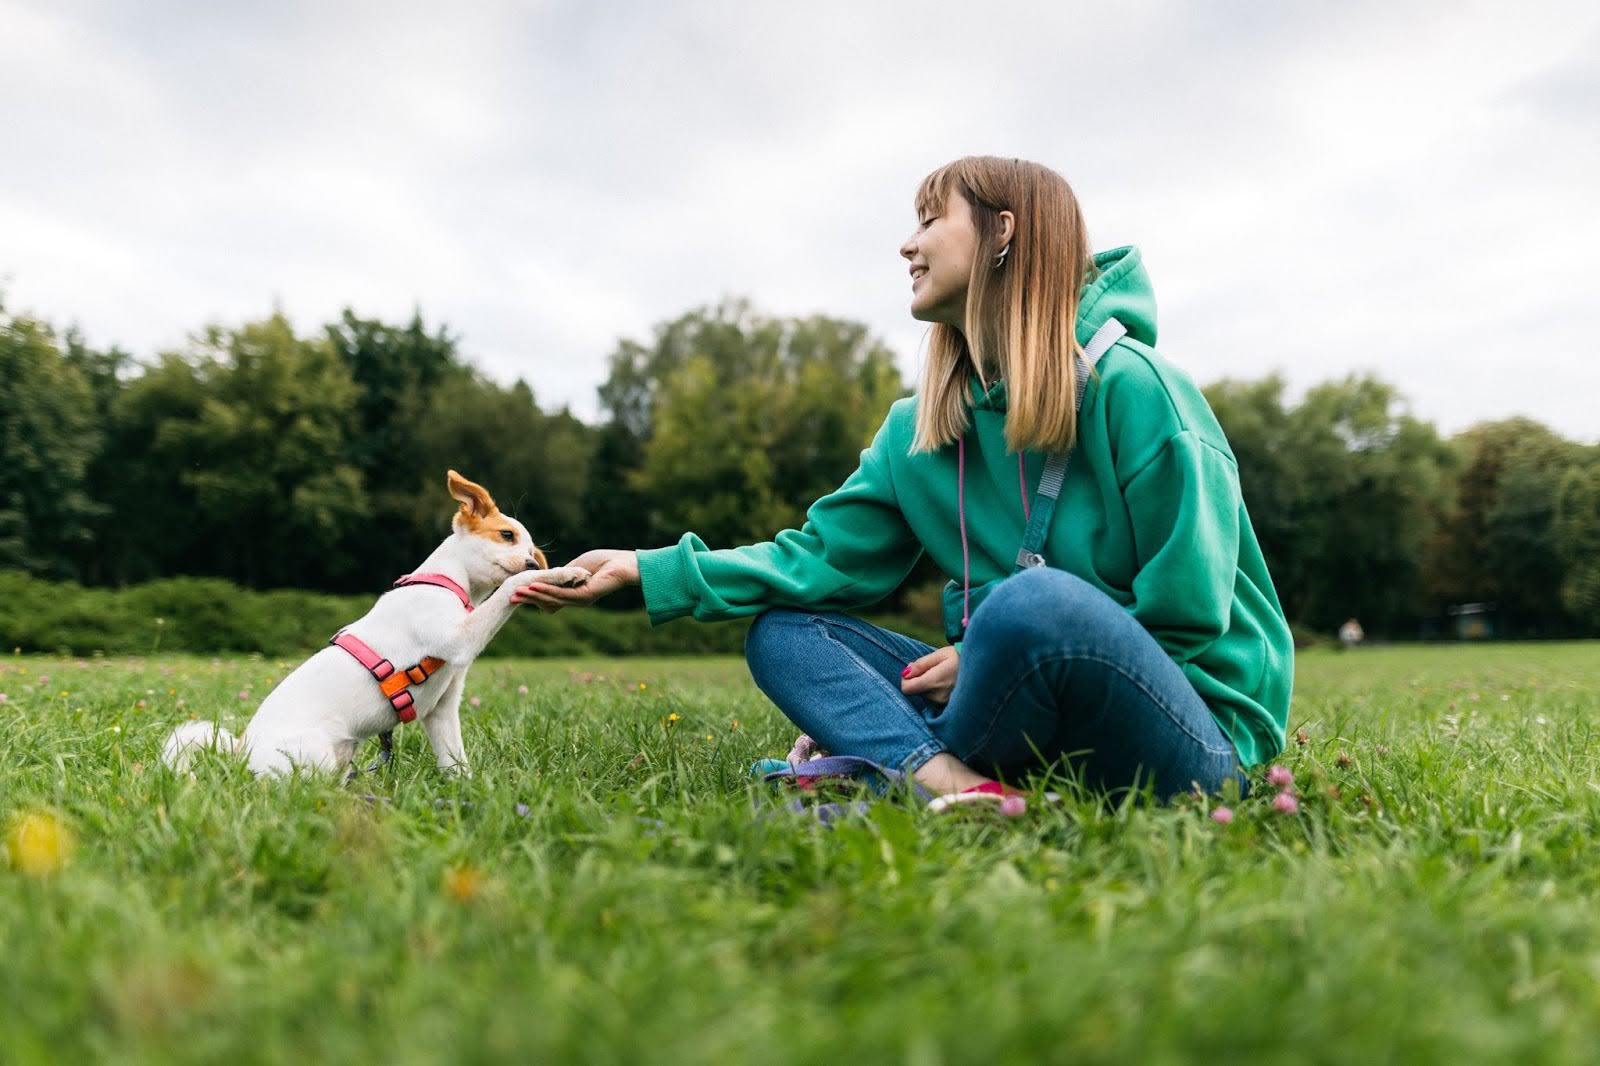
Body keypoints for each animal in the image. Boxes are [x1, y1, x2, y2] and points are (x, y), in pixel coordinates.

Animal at [160, 470, 588, 777]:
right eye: (506, 535)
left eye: (532, 549)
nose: (532, 561)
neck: (447, 584)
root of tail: (239, 751)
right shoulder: (459, 639)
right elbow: (511, 588)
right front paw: (561, 575)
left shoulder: (442, 711)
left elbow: (456, 763)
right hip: (315, 755)